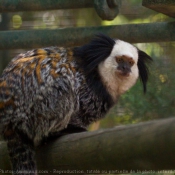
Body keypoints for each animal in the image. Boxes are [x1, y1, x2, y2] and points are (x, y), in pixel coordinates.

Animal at [0, 33, 152, 174]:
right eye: (120, 59)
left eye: (131, 62)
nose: (125, 68)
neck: (99, 76)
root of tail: (10, 122)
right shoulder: (86, 87)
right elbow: (80, 108)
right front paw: (75, 126)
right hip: (36, 109)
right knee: (63, 83)